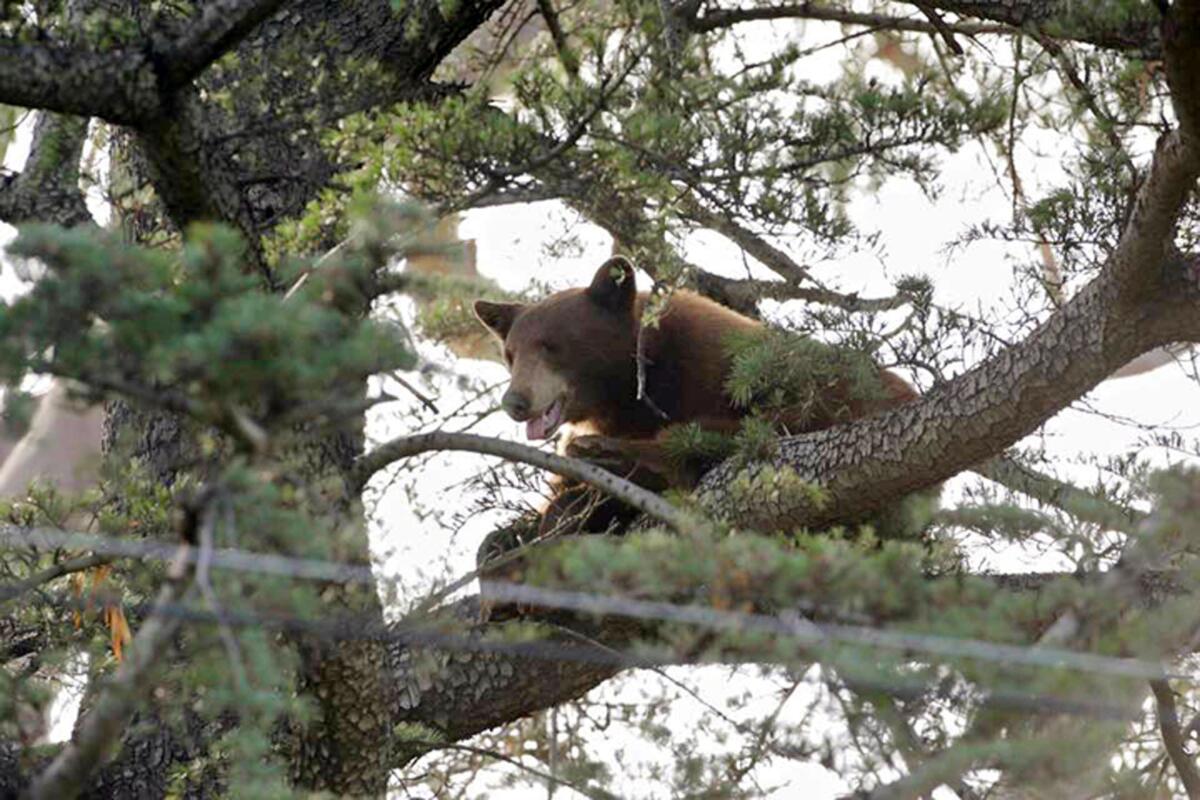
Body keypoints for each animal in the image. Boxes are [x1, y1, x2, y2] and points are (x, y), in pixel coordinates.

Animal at [472, 256, 921, 544]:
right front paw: (507, 536)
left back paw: (604, 454)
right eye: (510, 354)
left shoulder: (711, 364)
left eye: (552, 346)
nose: (515, 401)